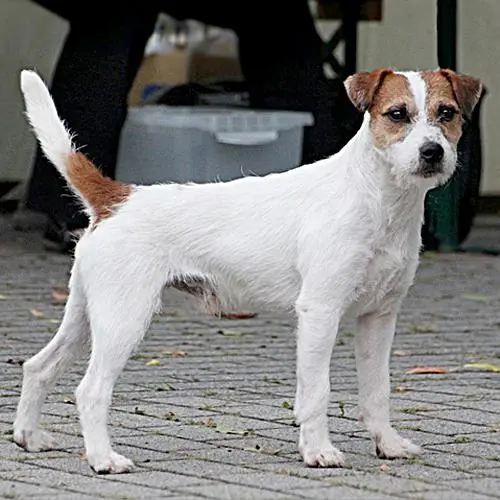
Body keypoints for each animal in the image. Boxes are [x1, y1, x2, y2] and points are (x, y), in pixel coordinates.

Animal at [12, 67, 480, 472]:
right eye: (397, 114)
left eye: (447, 113)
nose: (433, 152)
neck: (377, 200)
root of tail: (118, 198)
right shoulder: (321, 311)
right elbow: (316, 391)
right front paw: (318, 450)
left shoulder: (378, 318)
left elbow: (377, 391)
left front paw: (388, 444)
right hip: (123, 319)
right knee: (90, 390)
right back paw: (103, 459)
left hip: (86, 315)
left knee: (38, 367)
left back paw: (29, 436)